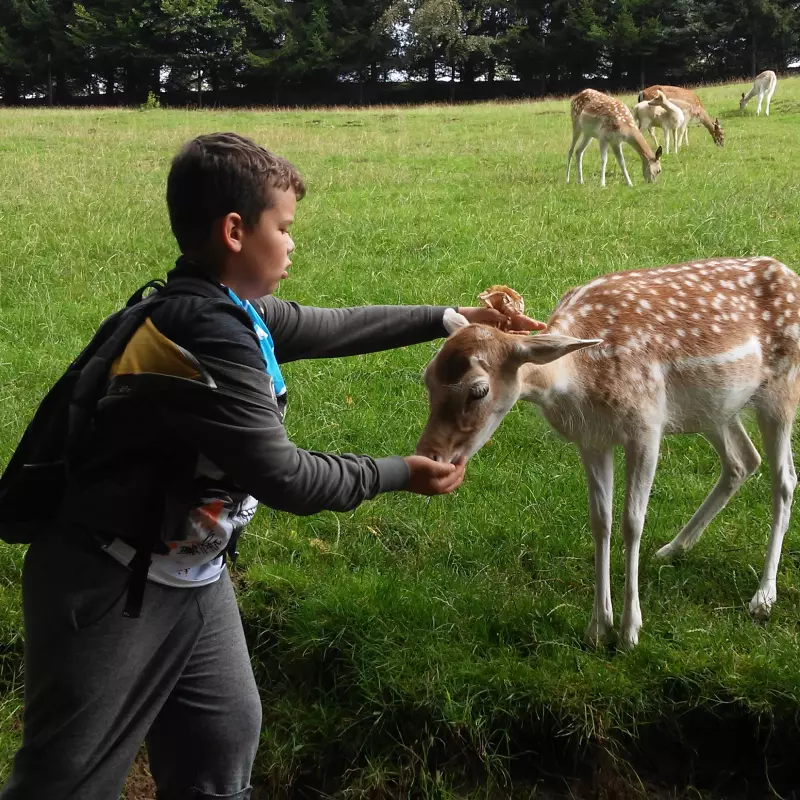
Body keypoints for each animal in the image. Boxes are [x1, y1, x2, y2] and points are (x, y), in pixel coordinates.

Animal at [416, 258, 800, 648]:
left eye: (478, 390)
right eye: (427, 377)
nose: (429, 455)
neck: (577, 380)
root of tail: (788, 271)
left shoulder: (646, 425)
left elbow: (632, 522)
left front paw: (630, 630)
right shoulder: (592, 439)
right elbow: (601, 521)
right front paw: (599, 626)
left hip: (781, 388)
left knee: (784, 478)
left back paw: (762, 597)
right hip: (716, 408)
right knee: (742, 460)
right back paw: (673, 548)